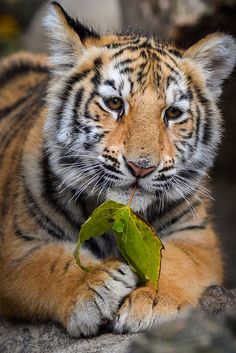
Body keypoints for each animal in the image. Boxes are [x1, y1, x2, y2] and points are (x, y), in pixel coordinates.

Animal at [0, 0, 235, 336]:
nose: (141, 167)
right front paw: (95, 285)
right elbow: (49, 266)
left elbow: (174, 262)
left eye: (173, 113)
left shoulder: (196, 237)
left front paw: (152, 302)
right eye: (114, 103)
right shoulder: (17, 247)